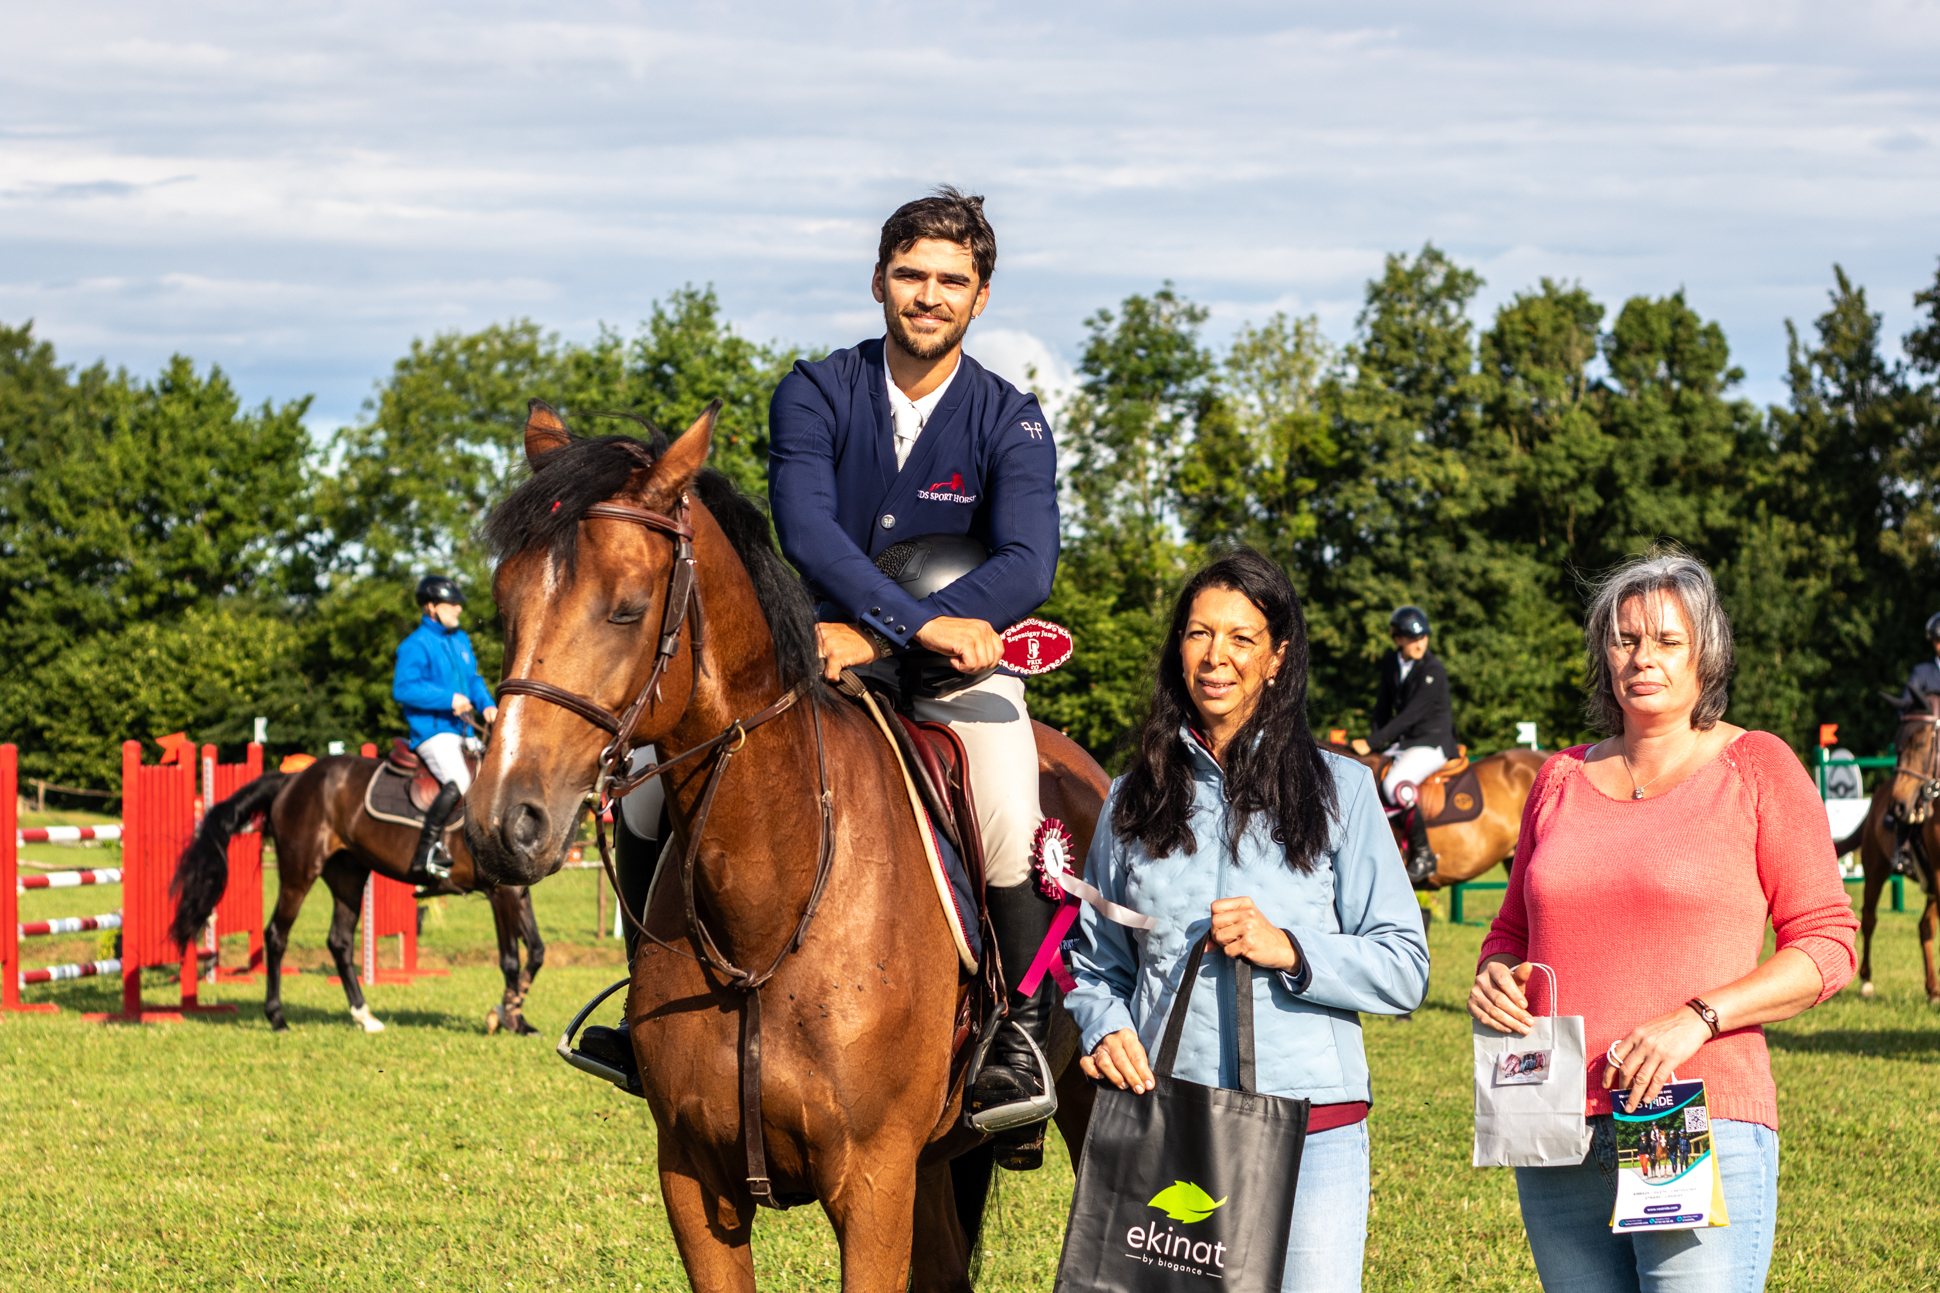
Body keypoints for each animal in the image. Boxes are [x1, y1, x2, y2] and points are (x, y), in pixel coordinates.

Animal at [169, 756, 547, 1034]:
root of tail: (293, 779)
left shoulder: (520, 893)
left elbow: (536, 952)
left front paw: (515, 1017)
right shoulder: (502, 892)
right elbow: (511, 959)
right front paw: (508, 1019)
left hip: (348, 878)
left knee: (339, 941)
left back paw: (364, 1016)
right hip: (298, 874)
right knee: (277, 935)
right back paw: (277, 1018)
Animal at [463, 400, 1107, 1293]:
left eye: (626, 606)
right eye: (506, 603)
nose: (503, 822)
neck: (770, 903)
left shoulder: (872, 1185)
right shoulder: (693, 1180)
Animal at [1834, 698, 1940, 1003]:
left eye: (1920, 743)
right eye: (1899, 745)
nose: (1899, 806)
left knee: (1924, 927)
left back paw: (1933, 990)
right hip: (1876, 869)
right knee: (1869, 919)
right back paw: (1866, 982)